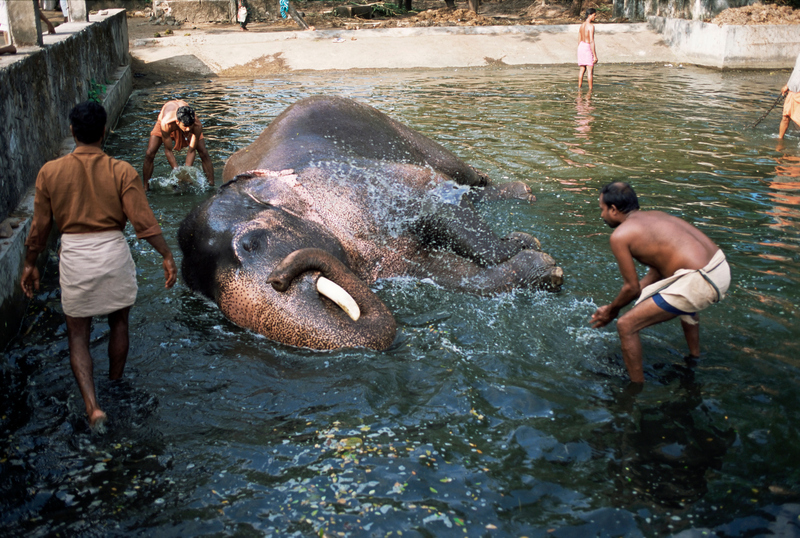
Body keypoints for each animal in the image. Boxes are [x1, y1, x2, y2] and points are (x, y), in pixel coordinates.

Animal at [177, 94, 564, 350]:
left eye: (252, 242)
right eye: (202, 295)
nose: (278, 278)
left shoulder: (361, 186)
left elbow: (438, 197)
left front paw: (526, 243)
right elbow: (447, 274)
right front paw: (542, 265)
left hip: (396, 129)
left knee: (462, 175)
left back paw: (523, 193)